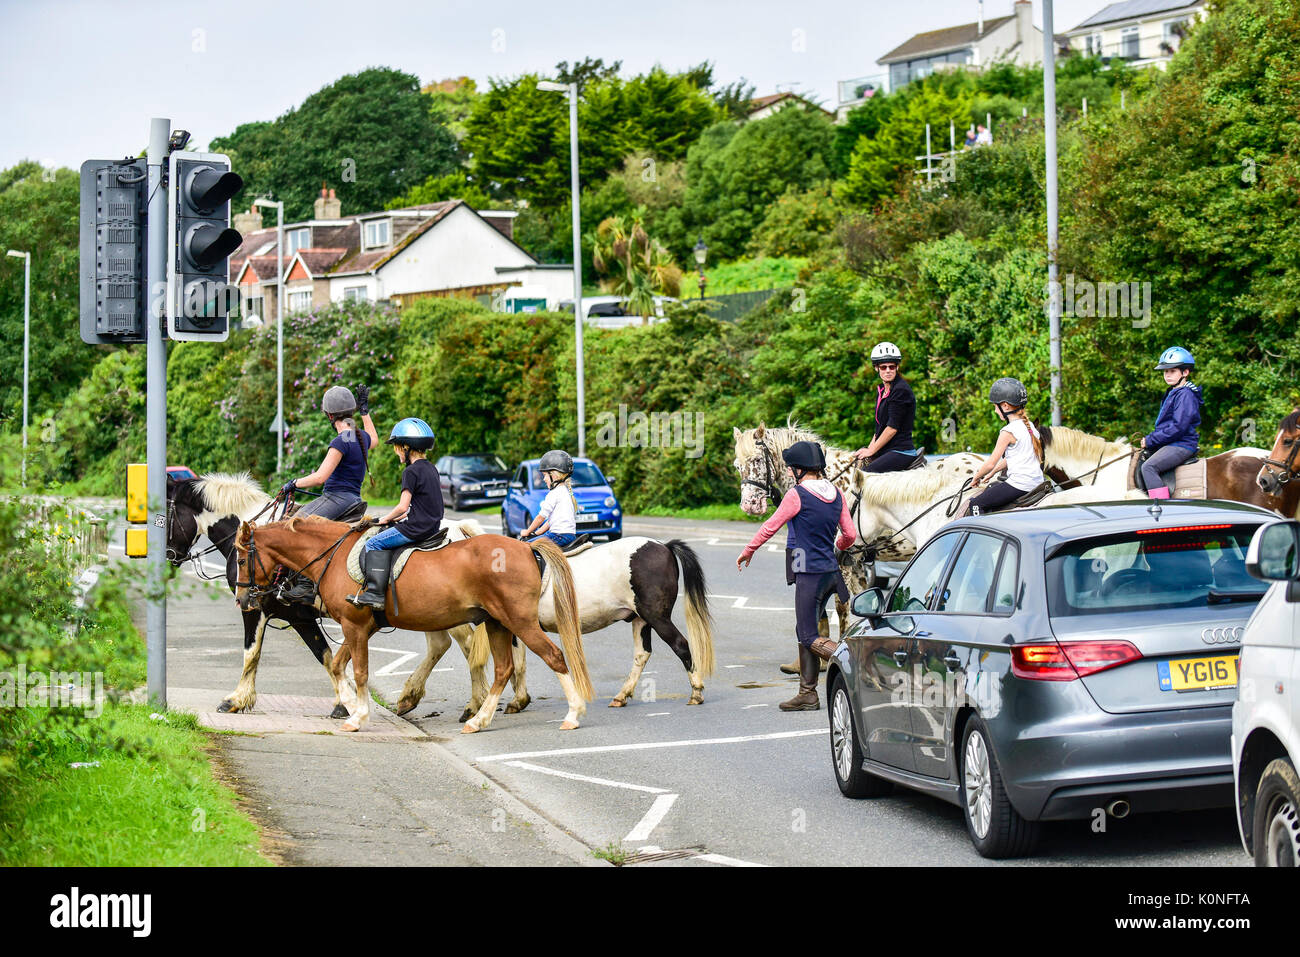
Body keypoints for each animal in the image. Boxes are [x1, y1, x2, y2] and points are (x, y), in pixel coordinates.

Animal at [163, 475, 506, 722]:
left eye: (165, 516)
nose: (169, 557)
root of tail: (458, 528)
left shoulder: (256, 607)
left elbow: (253, 654)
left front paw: (236, 699)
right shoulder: (300, 617)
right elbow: (328, 657)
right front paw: (346, 702)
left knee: (467, 647)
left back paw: (474, 704)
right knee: (442, 645)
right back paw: (412, 696)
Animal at [235, 514, 595, 733]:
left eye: (240, 558)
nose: (242, 600)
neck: (332, 555)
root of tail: (526, 547)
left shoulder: (355, 626)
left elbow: (358, 671)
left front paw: (358, 715)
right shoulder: (359, 628)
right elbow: (337, 666)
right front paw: (349, 707)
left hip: (518, 621)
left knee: (553, 657)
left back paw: (572, 714)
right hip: (497, 623)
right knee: (503, 668)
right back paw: (478, 719)